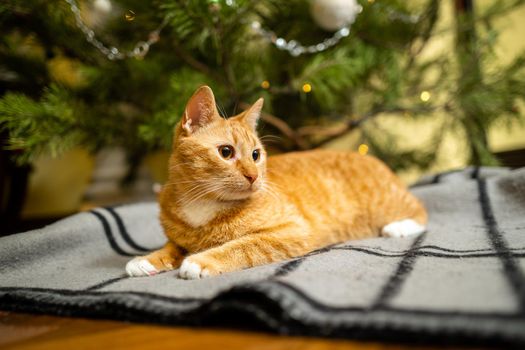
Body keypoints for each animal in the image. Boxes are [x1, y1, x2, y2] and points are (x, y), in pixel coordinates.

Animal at [126, 85, 426, 278]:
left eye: (256, 154)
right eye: (226, 152)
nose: (253, 176)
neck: (203, 205)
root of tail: (370, 157)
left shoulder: (290, 231)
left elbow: (242, 245)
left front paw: (201, 260)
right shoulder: (178, 236)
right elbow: (170, 246)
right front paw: (147, 259)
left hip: (389, 203)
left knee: (421, 213)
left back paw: (398, 227)